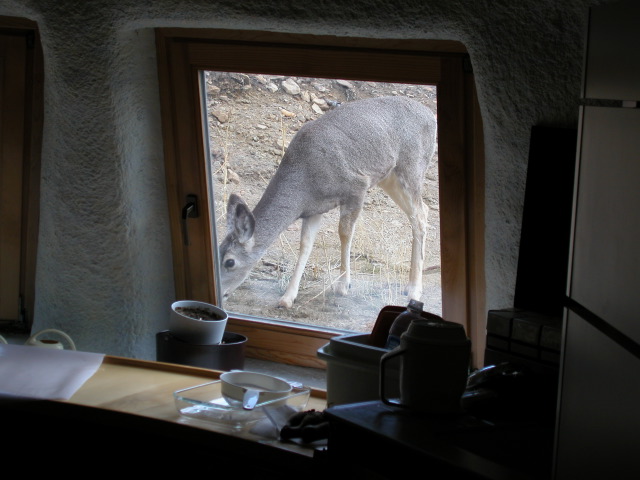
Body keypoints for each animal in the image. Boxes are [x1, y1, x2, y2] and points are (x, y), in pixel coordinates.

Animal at [218, 96, 437, 308]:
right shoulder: (314, 209)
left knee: (419, 215)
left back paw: (414, 289)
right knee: (422, 211)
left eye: (229, 262)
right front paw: (287, 298)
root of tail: (431, 115)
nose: (221, 295)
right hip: (389, 177)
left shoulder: (357, 186)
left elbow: (345, 233)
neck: (305, 181)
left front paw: (343, 285)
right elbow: (305, 244)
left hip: (412, 166)